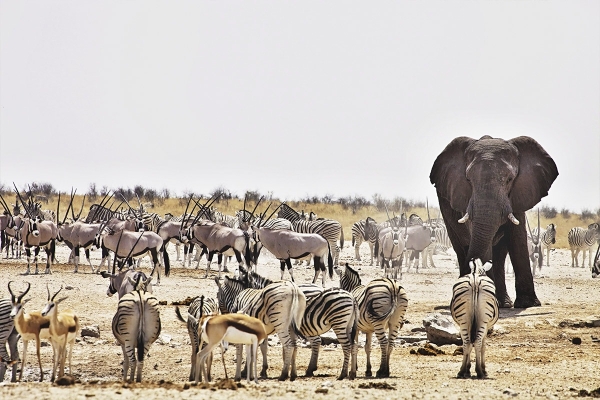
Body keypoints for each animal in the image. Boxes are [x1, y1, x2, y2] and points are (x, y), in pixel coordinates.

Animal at [432, 136, 556, 308]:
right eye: (468, 180)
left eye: (510, 180)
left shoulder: (518, 194)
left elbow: (517, 239)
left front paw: (529, 304)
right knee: (461, 248)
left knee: (499, 254)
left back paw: (503, 303)